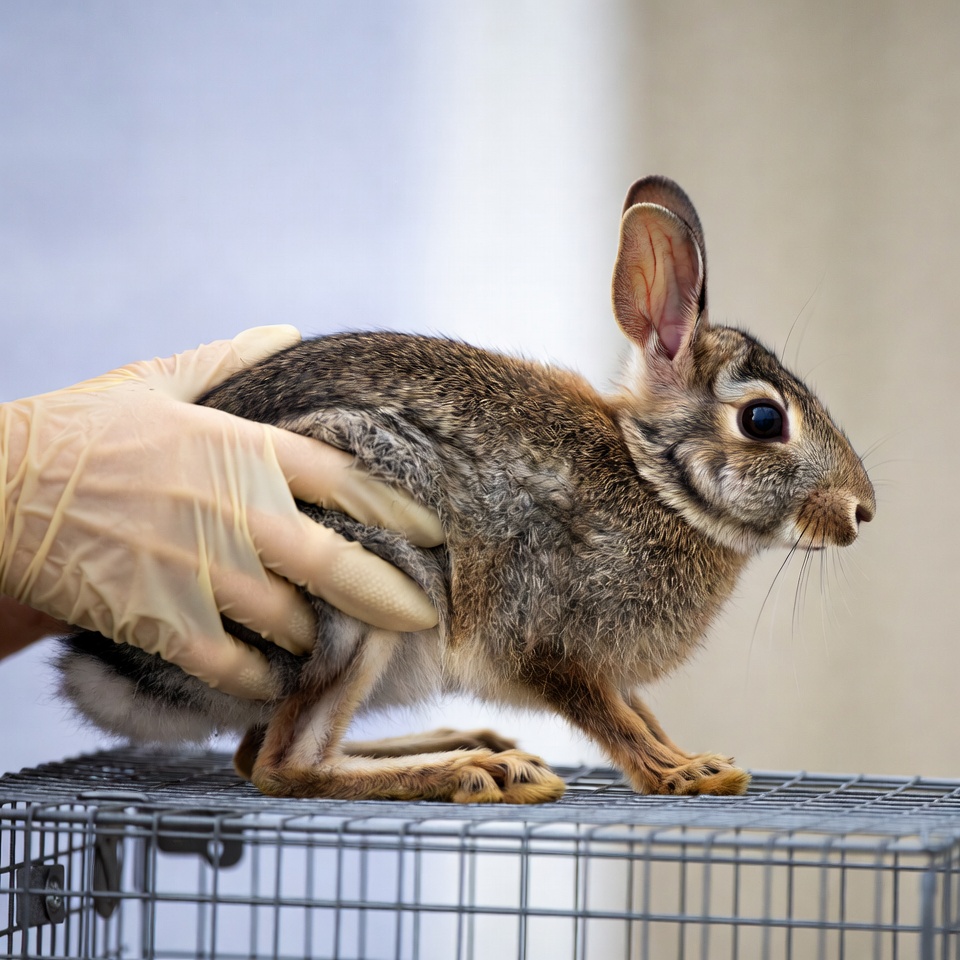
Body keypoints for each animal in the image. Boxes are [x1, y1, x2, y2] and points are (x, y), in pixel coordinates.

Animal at [57, 176, 875, 803]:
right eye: (764, 419)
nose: (862, 511)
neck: (655, 481)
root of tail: (110, 657)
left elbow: (638, 711)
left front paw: (696, 759)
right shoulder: (547, 638)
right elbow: (613, 720)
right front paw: (685, 775)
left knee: (256, 749)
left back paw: (476, 746)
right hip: (368, 590)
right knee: (282, 765)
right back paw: (476, 772)